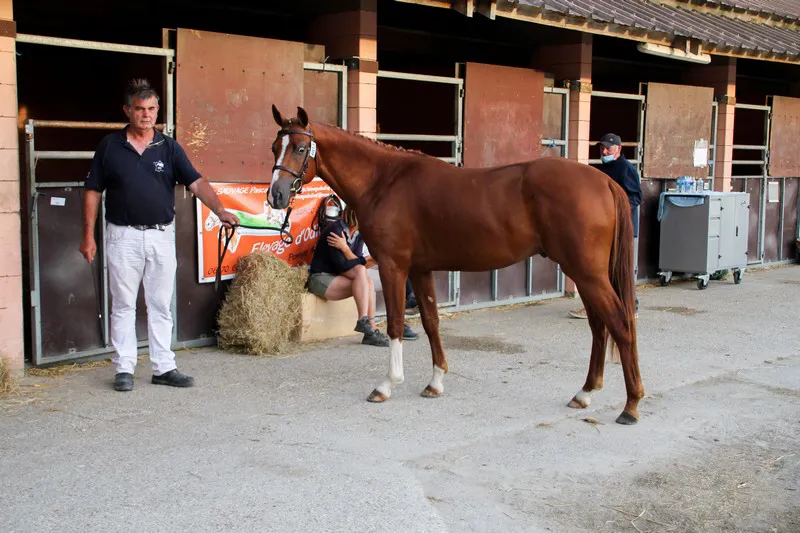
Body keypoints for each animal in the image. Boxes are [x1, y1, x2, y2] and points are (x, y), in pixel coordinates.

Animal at [267, 105, 645, 425]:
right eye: (274, 147)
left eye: (300, 148)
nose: (276, 196)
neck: (386, 181)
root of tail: (603, 181)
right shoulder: (420, 269)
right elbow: (431, 322)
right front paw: (435, 382)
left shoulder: (393, 266)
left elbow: (395, 324)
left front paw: (387, 385)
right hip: (583, 273)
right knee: (599, 327)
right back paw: (585, 393)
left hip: (588, 273)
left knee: (620, 323)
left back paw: (631, 405)